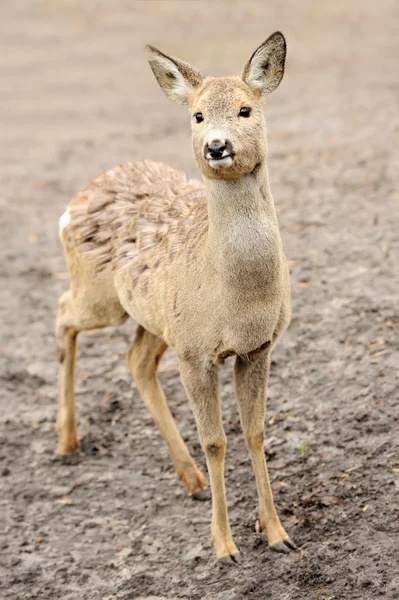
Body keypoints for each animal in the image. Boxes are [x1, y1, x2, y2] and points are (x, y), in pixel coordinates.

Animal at [57, 32, 298, 564]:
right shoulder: (194, 352)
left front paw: (277, 533)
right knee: (63, 313)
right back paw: (66, 440)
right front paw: (224, 546)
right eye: (198, 114)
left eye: (246, 109)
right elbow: (216, 441)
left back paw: (189, 478)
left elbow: (254, 432)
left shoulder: (257, 347)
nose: (217, 146)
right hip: (101, 297)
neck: (237, 301)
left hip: (155, 318)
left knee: (136, 360)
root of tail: (73, 203)